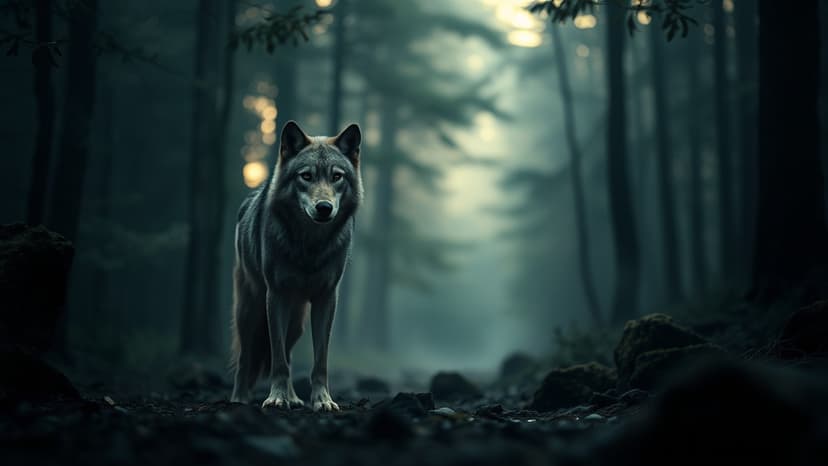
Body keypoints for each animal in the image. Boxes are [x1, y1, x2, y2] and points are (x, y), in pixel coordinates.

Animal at [230, 120, 362, 411]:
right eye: (306, 176)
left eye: (336, 177)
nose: (324, 207)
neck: (310, 246)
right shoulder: (276, 296)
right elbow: (277, 359)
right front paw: (276, 398)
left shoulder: (326, 299)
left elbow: (319, 361)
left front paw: (322, 400)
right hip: (250, 310)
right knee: (246, 357)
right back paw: (239, 398)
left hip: (296, 323)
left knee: (289, 354)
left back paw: (293, 397)